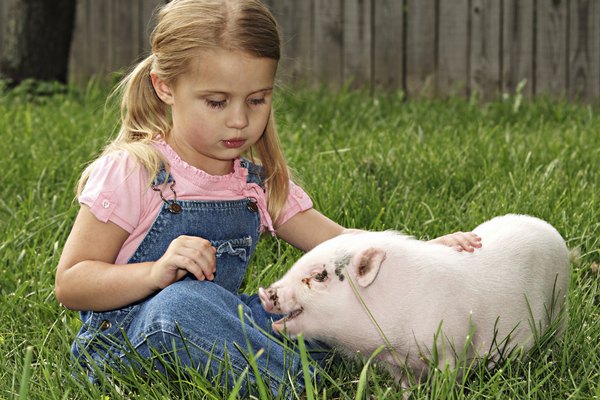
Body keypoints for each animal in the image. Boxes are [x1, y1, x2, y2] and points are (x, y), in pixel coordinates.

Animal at [260, 216, 568, 388]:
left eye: (320, 276)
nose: (265, 293)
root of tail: (550, 229)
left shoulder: (451, 346)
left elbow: (446, 380)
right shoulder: (395, 363)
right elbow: (404, 386)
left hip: (559, 304)